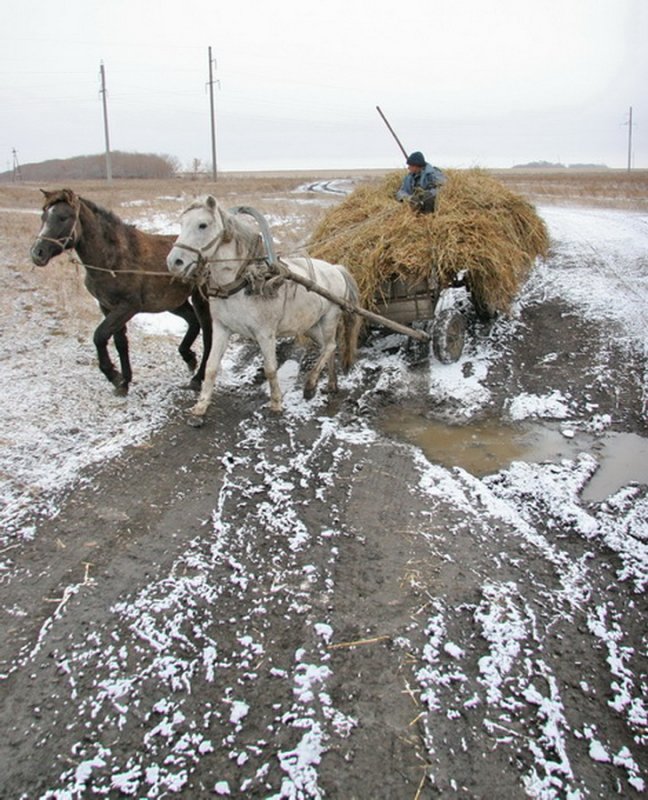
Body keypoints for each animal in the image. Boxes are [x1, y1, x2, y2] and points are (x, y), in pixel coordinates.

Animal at [31, 191, 213, 396]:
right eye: (44, 217)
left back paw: (198, 378)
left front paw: (114, 375)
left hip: (201, 299)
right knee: (194, 322)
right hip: (173, 302)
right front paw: (124, 381)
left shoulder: (127, 307)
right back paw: (189, 357)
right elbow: (120, 343)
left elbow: (100, 336)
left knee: (208, 334)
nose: (37, 253)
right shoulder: (107, 307)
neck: (113, 259)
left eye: (63, 217)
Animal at [165, 197, 362, 422]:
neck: (241, 283)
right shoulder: (222, 329)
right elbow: (212, 366)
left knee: (330, 346)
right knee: (327, 348)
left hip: (330, 318)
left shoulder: (265, 333)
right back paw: (331, 384)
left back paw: (310, 385)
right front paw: (200, 407)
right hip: (311, 325)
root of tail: (336, 269)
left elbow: (270, 369)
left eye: (203, 225)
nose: (174, 262)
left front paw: (276, 403)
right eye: (181, 224)